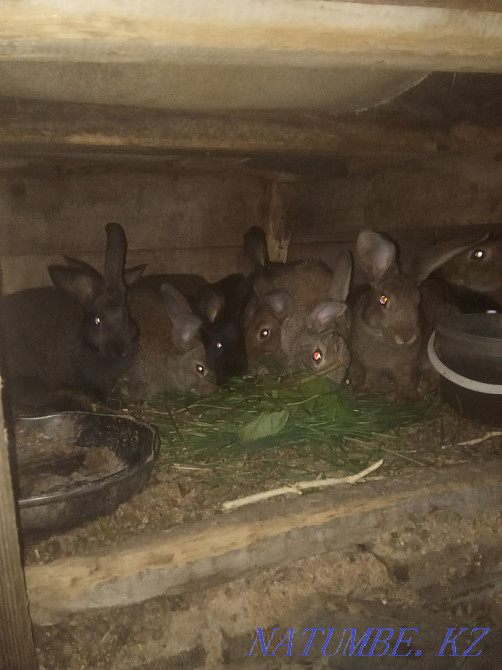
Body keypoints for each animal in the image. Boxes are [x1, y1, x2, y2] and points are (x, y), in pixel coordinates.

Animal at [0, 223, 145, 411]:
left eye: (126, 315)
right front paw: (115, 403)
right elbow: (99, 390)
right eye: (98, 321)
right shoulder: (89, 378)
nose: (119, 351)